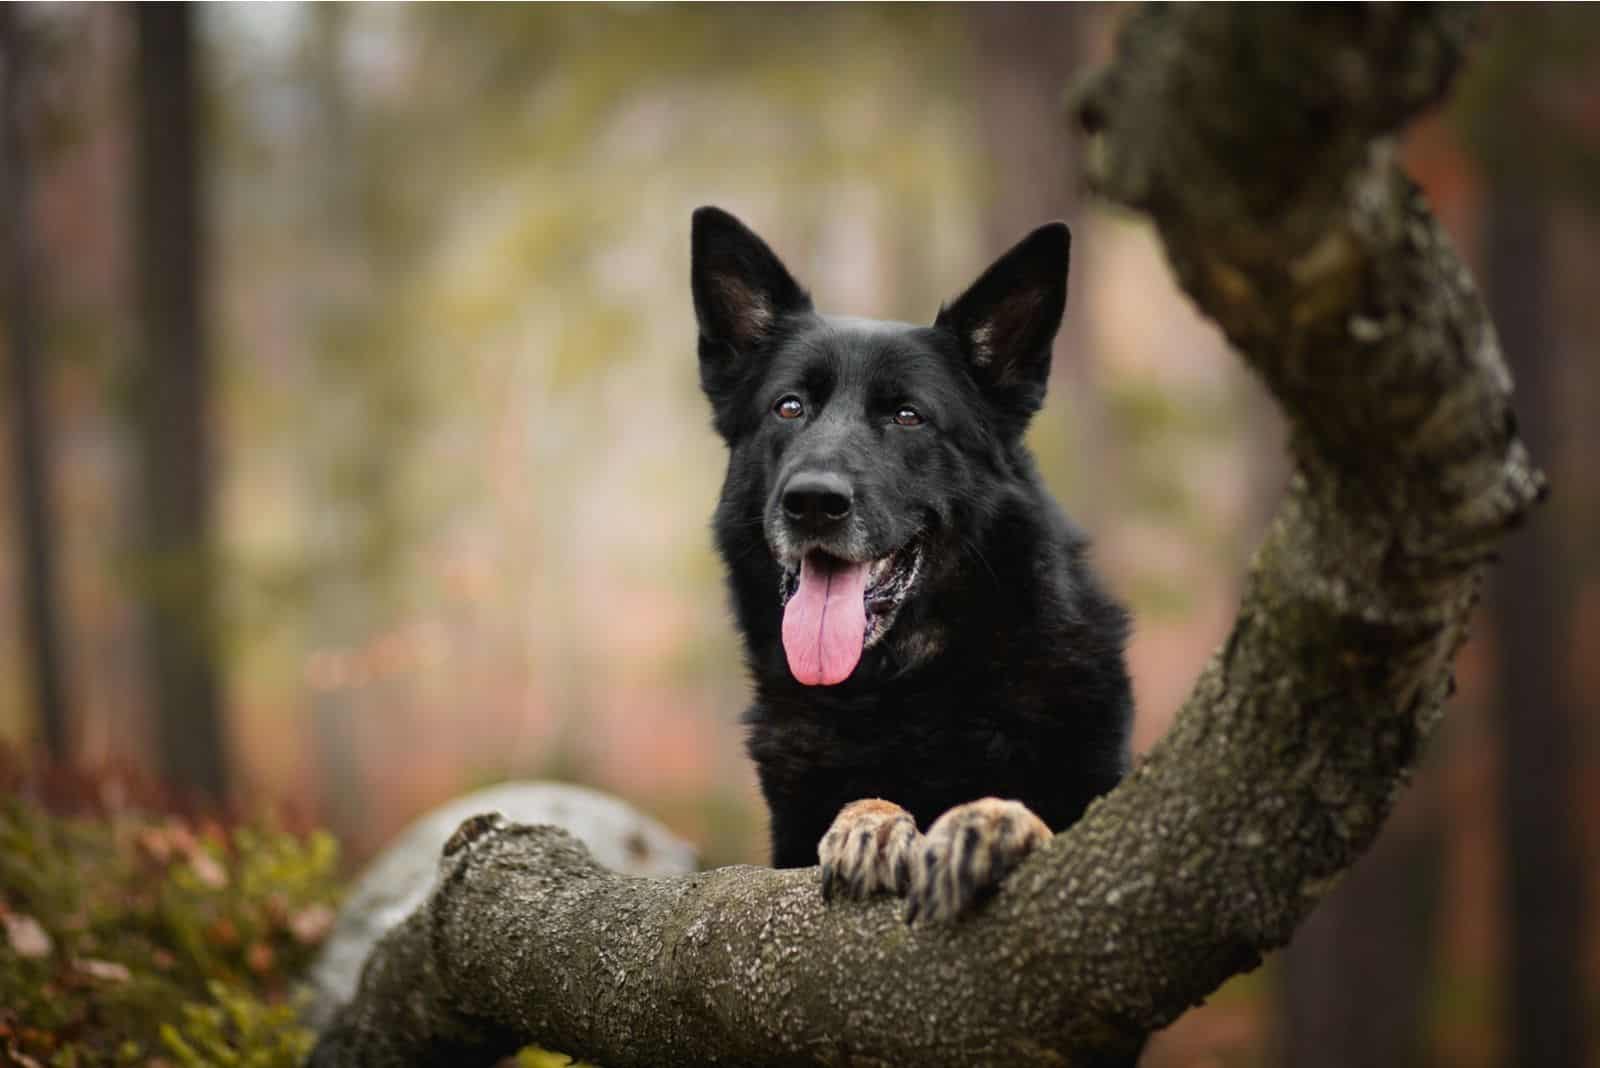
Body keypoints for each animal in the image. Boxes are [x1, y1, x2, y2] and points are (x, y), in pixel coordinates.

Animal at [694, 204, 1132, 920]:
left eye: (907, 416)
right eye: (789, 407)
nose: (813, 503)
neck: (907, 685)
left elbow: (1036, 818)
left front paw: (992, 819)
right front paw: (870, 820)